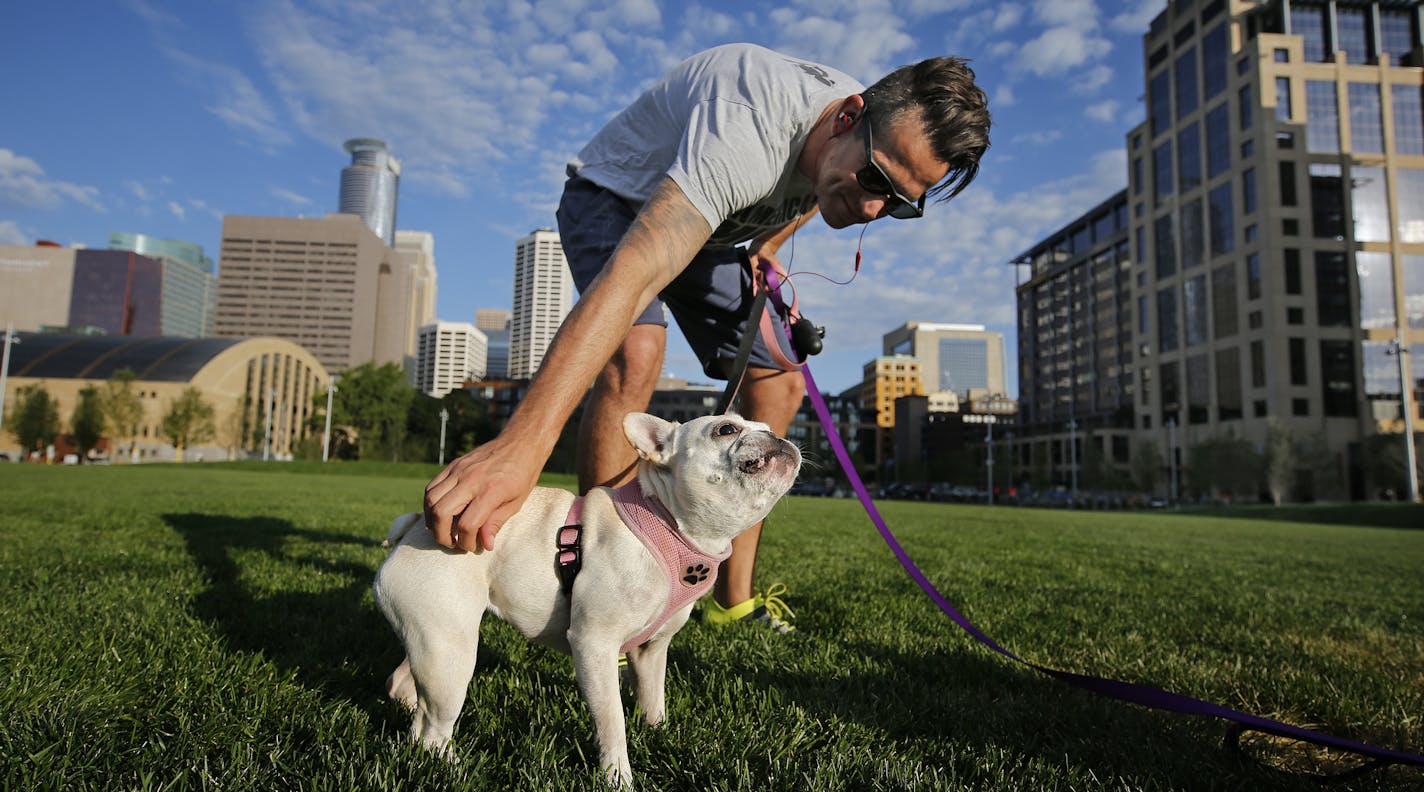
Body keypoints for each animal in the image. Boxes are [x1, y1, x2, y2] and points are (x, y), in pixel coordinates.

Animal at [375, 415, 803, 786]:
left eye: (767, 426)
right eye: (726, 429)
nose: (777, 435)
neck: (672, 525)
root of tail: (416, 526)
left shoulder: (652, 649)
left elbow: (653, 698)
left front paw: (659, 734)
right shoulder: (594, 645)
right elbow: (613, 720)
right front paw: (618, 778)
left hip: (440, 636)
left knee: (409, 688)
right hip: (451, 653)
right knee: (432, 728)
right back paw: (455, 769)